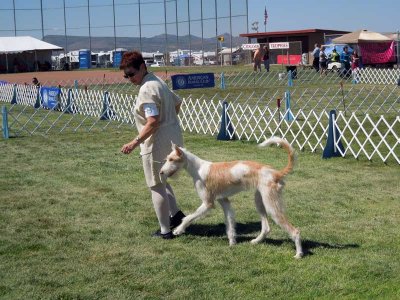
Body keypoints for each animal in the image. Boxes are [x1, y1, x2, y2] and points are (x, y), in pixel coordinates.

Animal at [159, 137, 304, 258]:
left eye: (172, 159)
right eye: (167, 158)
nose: (161, 172)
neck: (198, 169)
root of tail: (276, 173)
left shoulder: (207, 203)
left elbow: (189, 217)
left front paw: (178, 230)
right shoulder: (224, 201)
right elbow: (229, 224)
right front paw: (232, 242)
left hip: (271, 206)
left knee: (295, 231)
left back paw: (299, 254)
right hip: (260, 202)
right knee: (266, 227)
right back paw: (256, 241)